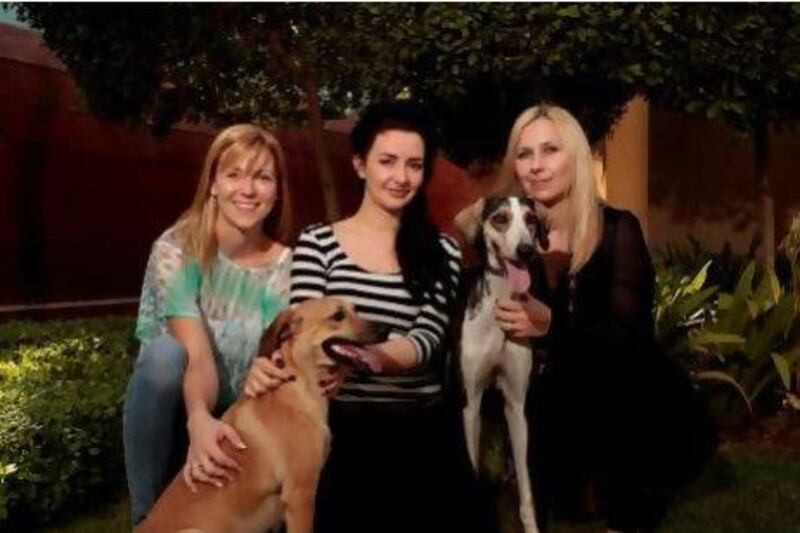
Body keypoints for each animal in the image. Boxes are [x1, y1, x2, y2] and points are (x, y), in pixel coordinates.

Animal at [456, 195, 552, 532]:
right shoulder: (470, 405)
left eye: (531, 220)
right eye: (500, 219)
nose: (525, 250)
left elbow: (526, 491)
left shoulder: (515, 405)